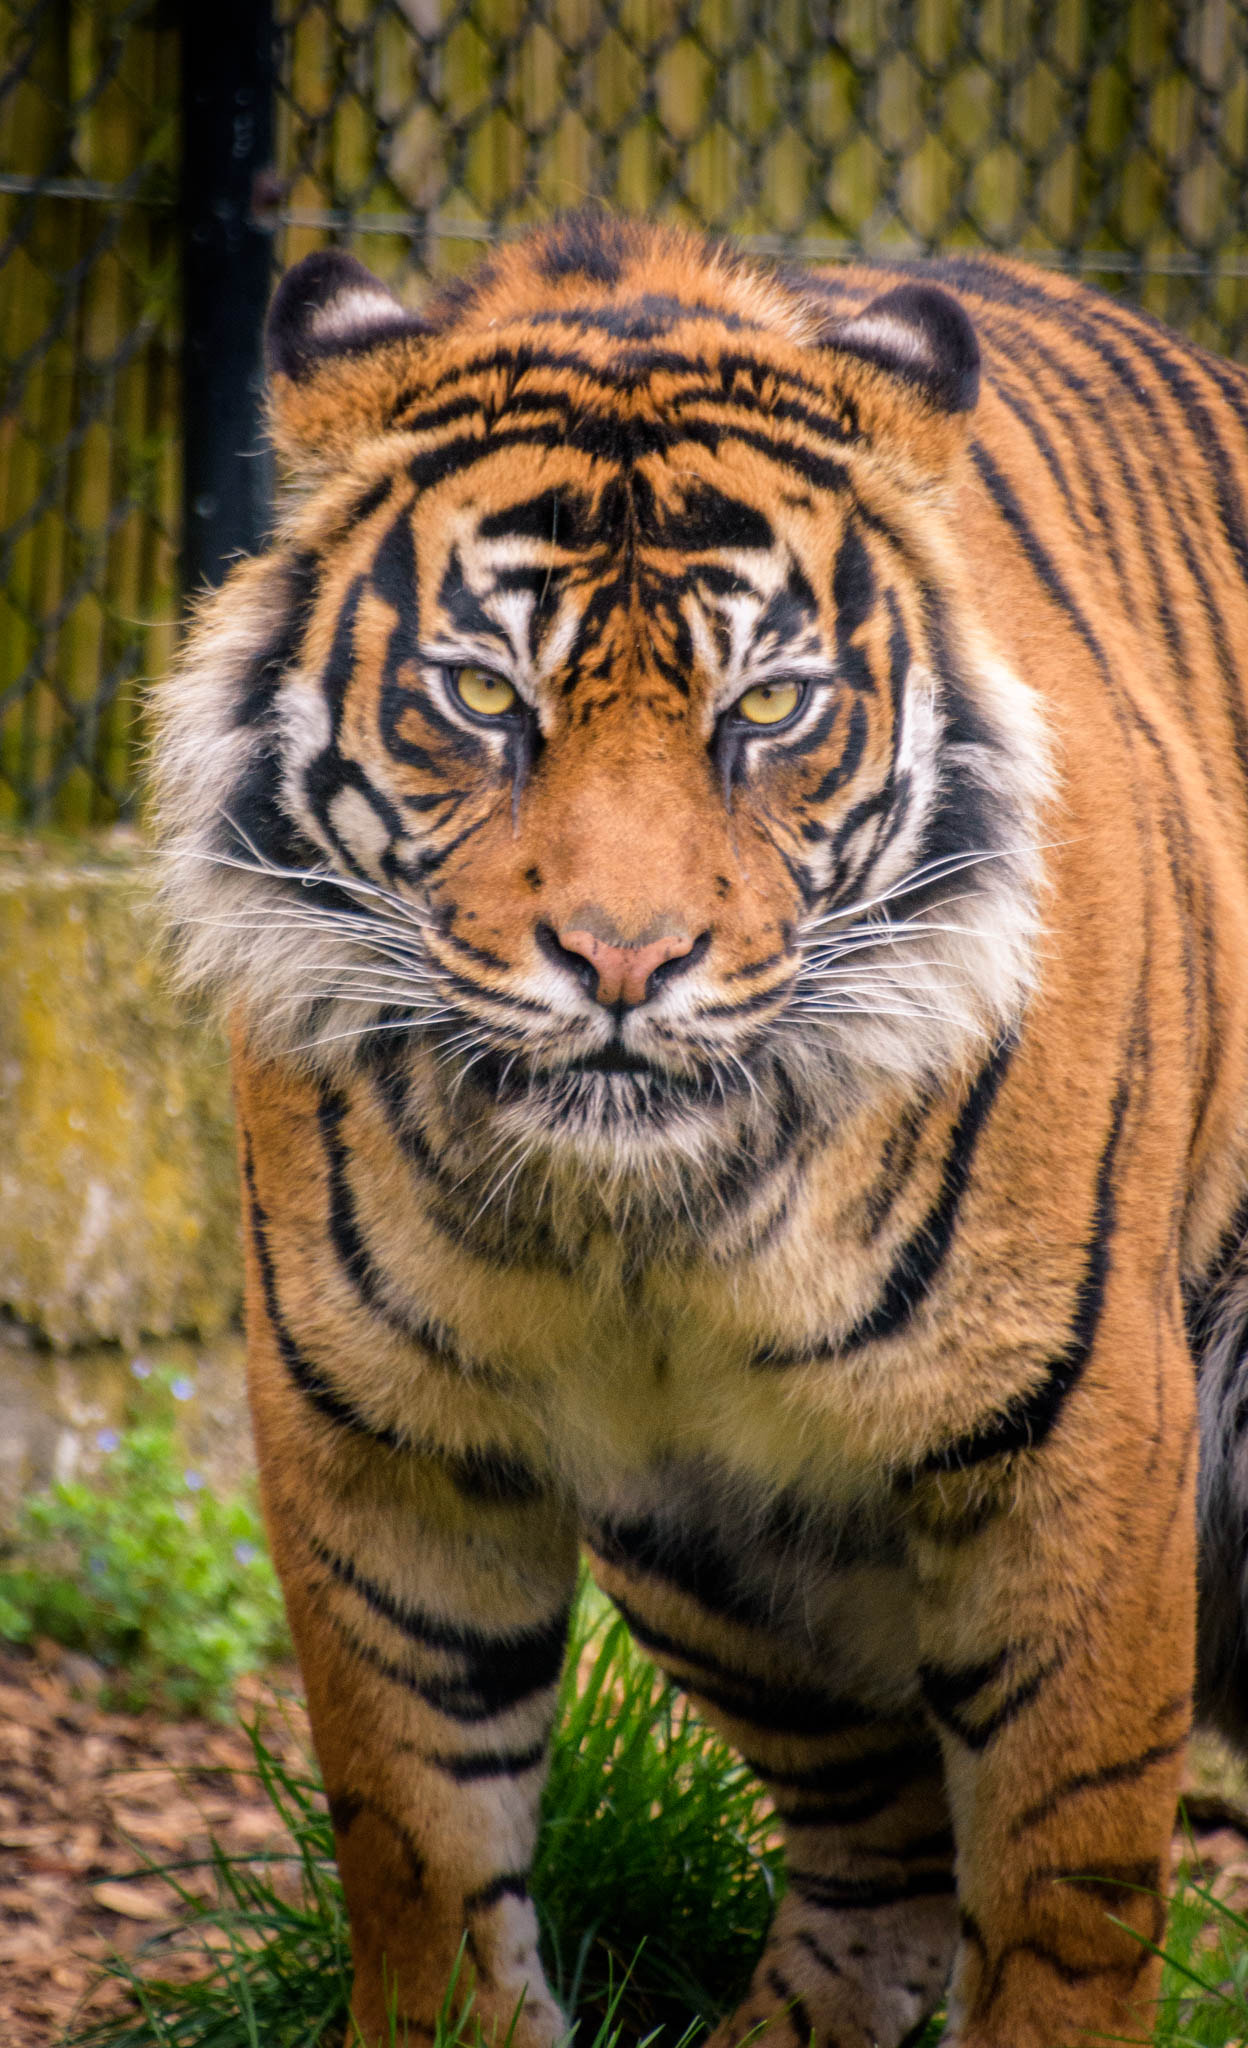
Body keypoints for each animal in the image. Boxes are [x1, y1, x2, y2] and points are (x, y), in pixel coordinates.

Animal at [153, 208, 1248, 2048]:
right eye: (480, 696)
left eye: (770, 710)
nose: (621, 957)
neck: (649, 1220)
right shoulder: (382, 1443)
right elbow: (418, 1849)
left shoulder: (1086, 1447)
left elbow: (1062, 1889)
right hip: (712, 1553)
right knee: (879, 1848)